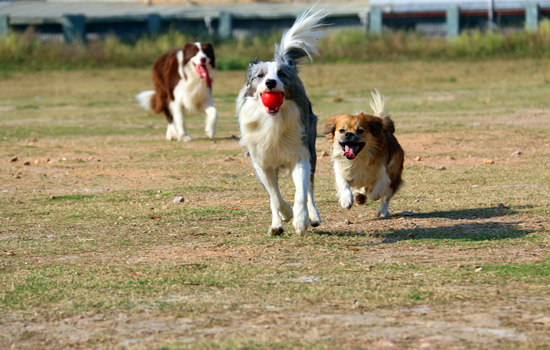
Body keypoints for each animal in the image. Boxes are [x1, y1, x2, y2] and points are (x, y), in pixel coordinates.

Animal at [237, 8, 328, 237]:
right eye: (260, 75)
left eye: (282, 75)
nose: (270, 82)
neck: (273, 120)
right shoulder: (261, 162)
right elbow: (274, 196)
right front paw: (285, 216)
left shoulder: (300, 155)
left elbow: (301, 192)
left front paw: (301, 220)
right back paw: (277, 224)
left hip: (311, 149)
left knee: (309, 188)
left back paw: (313, 217)